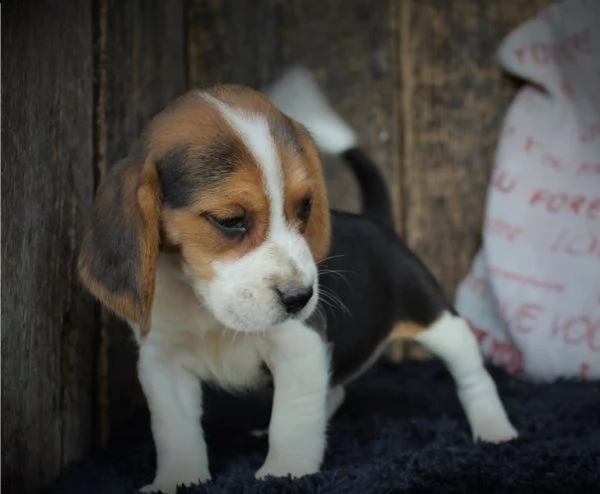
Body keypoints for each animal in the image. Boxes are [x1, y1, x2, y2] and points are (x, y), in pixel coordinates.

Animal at [77, 66, 516, 494]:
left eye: (305, 207)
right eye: (229, 220)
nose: (300, 297)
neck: (202, 302)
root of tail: (378, 222)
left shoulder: (300, 345)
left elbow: (292, 421)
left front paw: (284, 473)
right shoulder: (162, 362)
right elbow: (176, 432)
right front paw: (177, 481)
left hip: (437, 318)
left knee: (472, 375)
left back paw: (494, 429)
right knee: (334, 390)